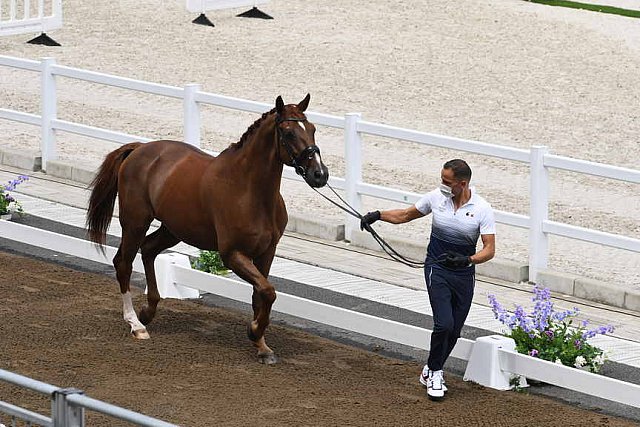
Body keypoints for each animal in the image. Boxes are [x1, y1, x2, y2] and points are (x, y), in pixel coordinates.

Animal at [87, 94, 328, 364]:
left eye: (312, 129)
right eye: (288, 133)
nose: (320, 174)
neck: (249, 190)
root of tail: (139, 149)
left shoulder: (267, 252)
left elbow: (262, 295)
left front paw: (262, 346)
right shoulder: (232, 254)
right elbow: (268, 291)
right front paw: (253, 331)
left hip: (173, 229)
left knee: (148, 250)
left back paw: (148, 311)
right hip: (135, 223)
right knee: (123, 264)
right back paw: (136, 325)